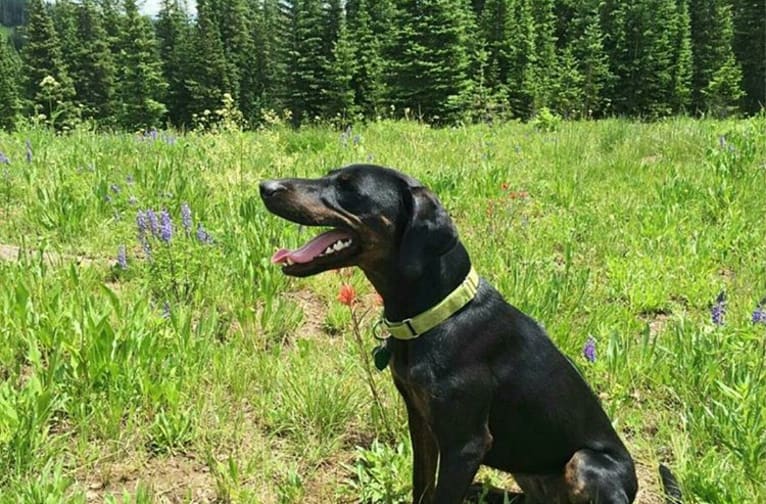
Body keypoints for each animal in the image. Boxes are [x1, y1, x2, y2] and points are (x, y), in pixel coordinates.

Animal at [258, 163, 664, 502]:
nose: (265, 186)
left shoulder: (467, 444)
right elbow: (422, 485)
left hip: (584, 463)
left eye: (348, 187)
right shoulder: (420, 420)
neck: (436, 315)